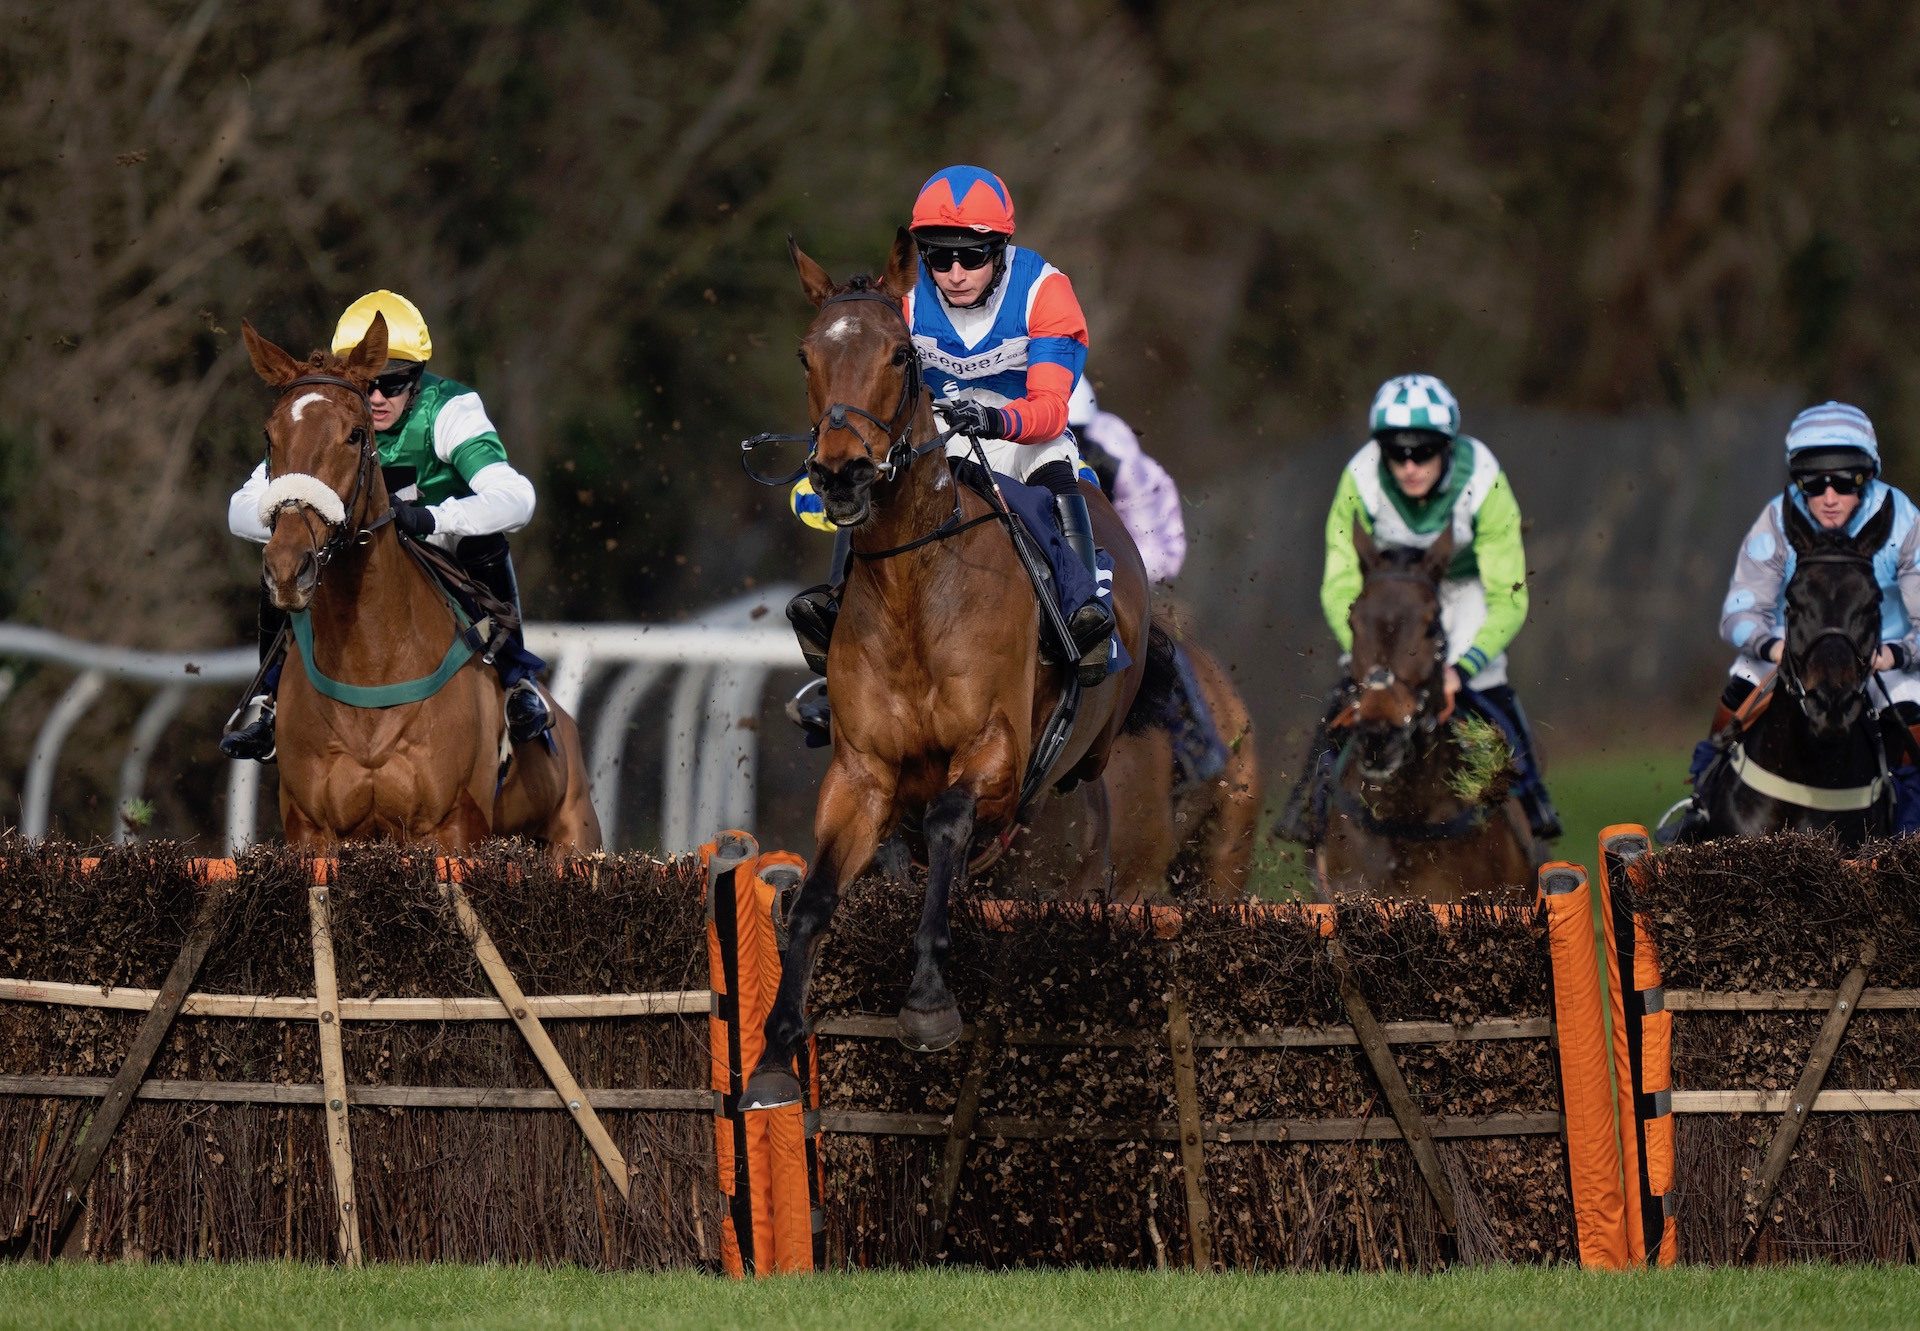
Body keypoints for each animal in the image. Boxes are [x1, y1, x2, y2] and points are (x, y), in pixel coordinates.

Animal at [241, 314, 599, 852]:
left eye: (355, 434)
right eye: (269, 437)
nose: (287, 567)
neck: (370, 662)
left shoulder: (451, 827)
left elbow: (510, 490)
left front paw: (416, 515)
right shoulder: (311, 830)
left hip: (575, 837)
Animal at [741, 233, 1144, 1106]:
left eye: (899, 354)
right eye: (805, 354)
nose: (841, 472)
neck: (913, 592)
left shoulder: (995, 751)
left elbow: (949, 819)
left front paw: (927, 998)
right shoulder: (862, 773)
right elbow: (816, 897)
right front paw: (776, 1049)